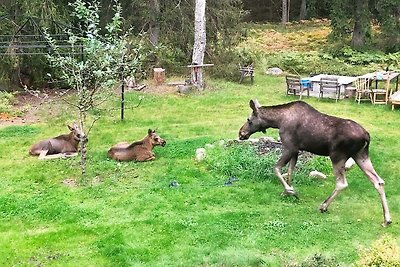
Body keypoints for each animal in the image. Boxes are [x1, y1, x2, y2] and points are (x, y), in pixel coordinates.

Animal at [239, 99, 392, 227]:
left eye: (249, 119)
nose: (241, 133)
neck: (277, 122)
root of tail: (366, 136)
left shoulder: (290, 147)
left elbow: (276, 168)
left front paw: (290, 190)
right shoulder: (296, 150)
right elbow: (290, 171)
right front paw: (288, 192)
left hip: (338, 156)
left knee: (342, 183)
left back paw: (323, 206)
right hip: (361, 155)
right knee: (378, 181)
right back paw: (387, 219)